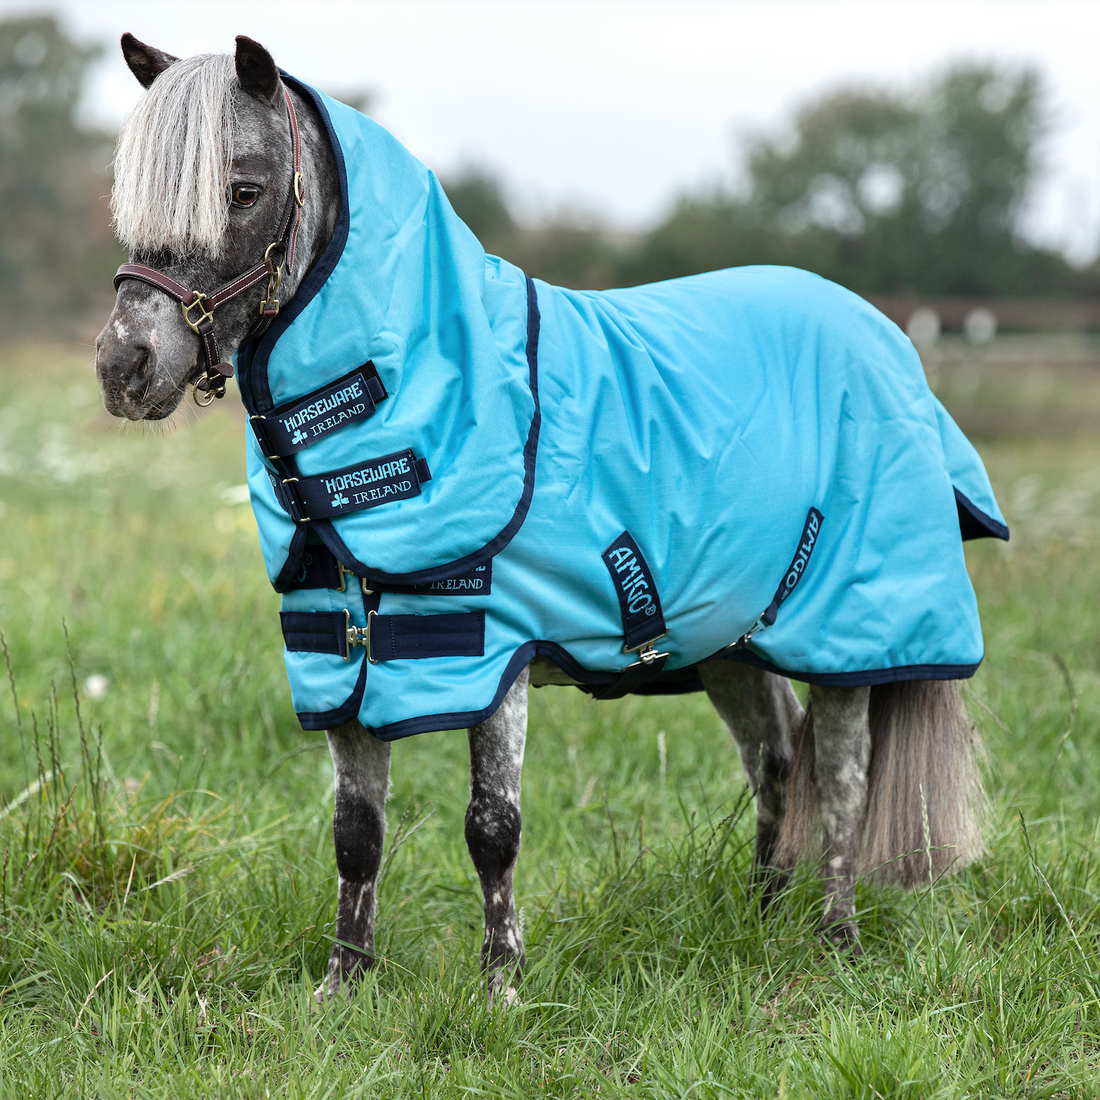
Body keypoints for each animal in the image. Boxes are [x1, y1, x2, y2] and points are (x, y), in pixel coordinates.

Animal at [94, 35, 1002, 1004]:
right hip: (731, 641)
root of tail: (886, 339)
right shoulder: (340, 658)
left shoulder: (490, 653)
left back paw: (836, 940)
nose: (124, 366)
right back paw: (762, 919)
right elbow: (355, 832)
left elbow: (491, 826)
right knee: (776, 761)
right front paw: (342, 986)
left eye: (245, 188)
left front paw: (501, 986)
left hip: (850, 638)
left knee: (839, 778)